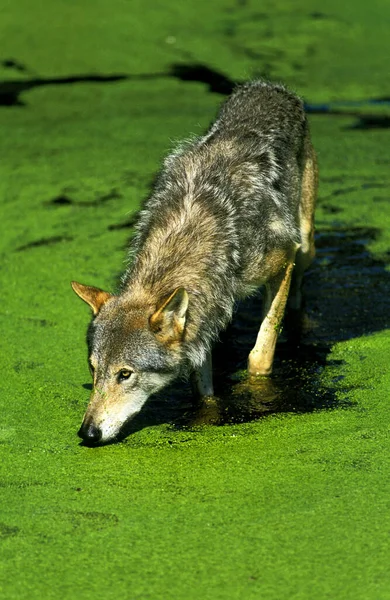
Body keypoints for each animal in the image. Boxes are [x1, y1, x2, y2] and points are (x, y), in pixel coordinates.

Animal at [72, 81, 316, 446]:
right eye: (93, 368)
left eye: (125, 374)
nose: (87, 432)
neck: (192, 234)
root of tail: (268, 86)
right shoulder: (203, 312)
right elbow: (202, 385)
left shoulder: (282, 258)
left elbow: (260, 354)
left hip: (305, 243)